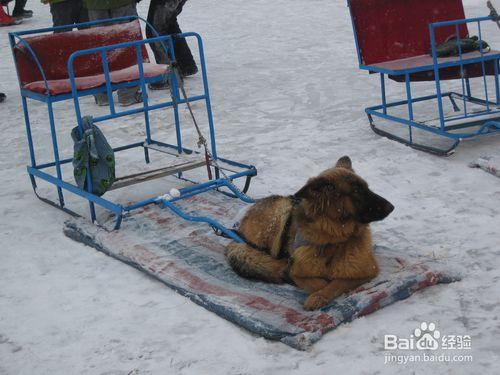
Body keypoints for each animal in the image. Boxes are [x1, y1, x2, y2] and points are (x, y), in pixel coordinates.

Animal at [227, 156, 394, 312]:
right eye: (356, 191)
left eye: (367, 188)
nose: (392, 207)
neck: (334, 240)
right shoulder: (298, 270)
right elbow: (316, 282)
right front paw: (316, 292)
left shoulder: (367, 272)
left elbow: (337, 283)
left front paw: (319, 296)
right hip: (282, 211)